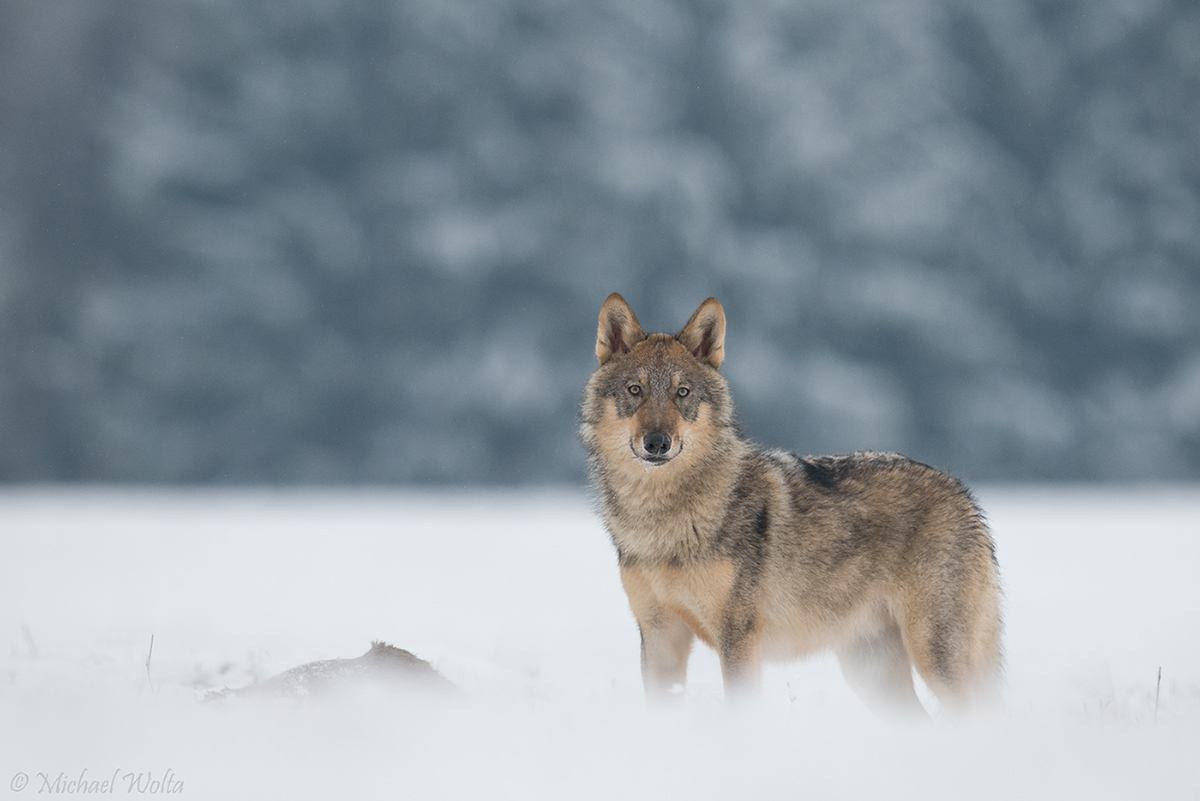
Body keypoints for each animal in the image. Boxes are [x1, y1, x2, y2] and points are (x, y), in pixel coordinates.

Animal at [580, 293, 1003, 719]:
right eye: (635, 390)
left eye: (682, 393)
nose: (657, 443)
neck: (660, 517)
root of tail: (961, 491)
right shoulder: (659, 635)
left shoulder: (738, 638)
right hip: (873, 677)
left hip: (936, 658)